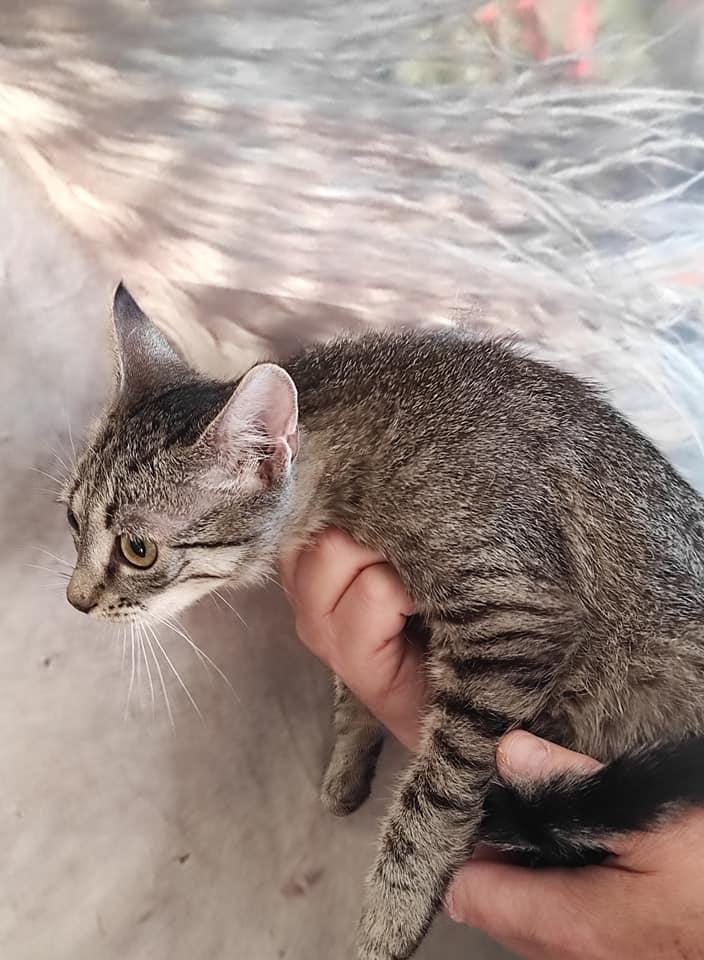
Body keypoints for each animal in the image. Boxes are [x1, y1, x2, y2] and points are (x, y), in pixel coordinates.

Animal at [64, 283, 704, 960]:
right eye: (73, 523)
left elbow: (437, 790)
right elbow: (354, 694)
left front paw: (394, 910)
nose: (77, 600)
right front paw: (349, 763)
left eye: (138, 550)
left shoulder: (514, 618)